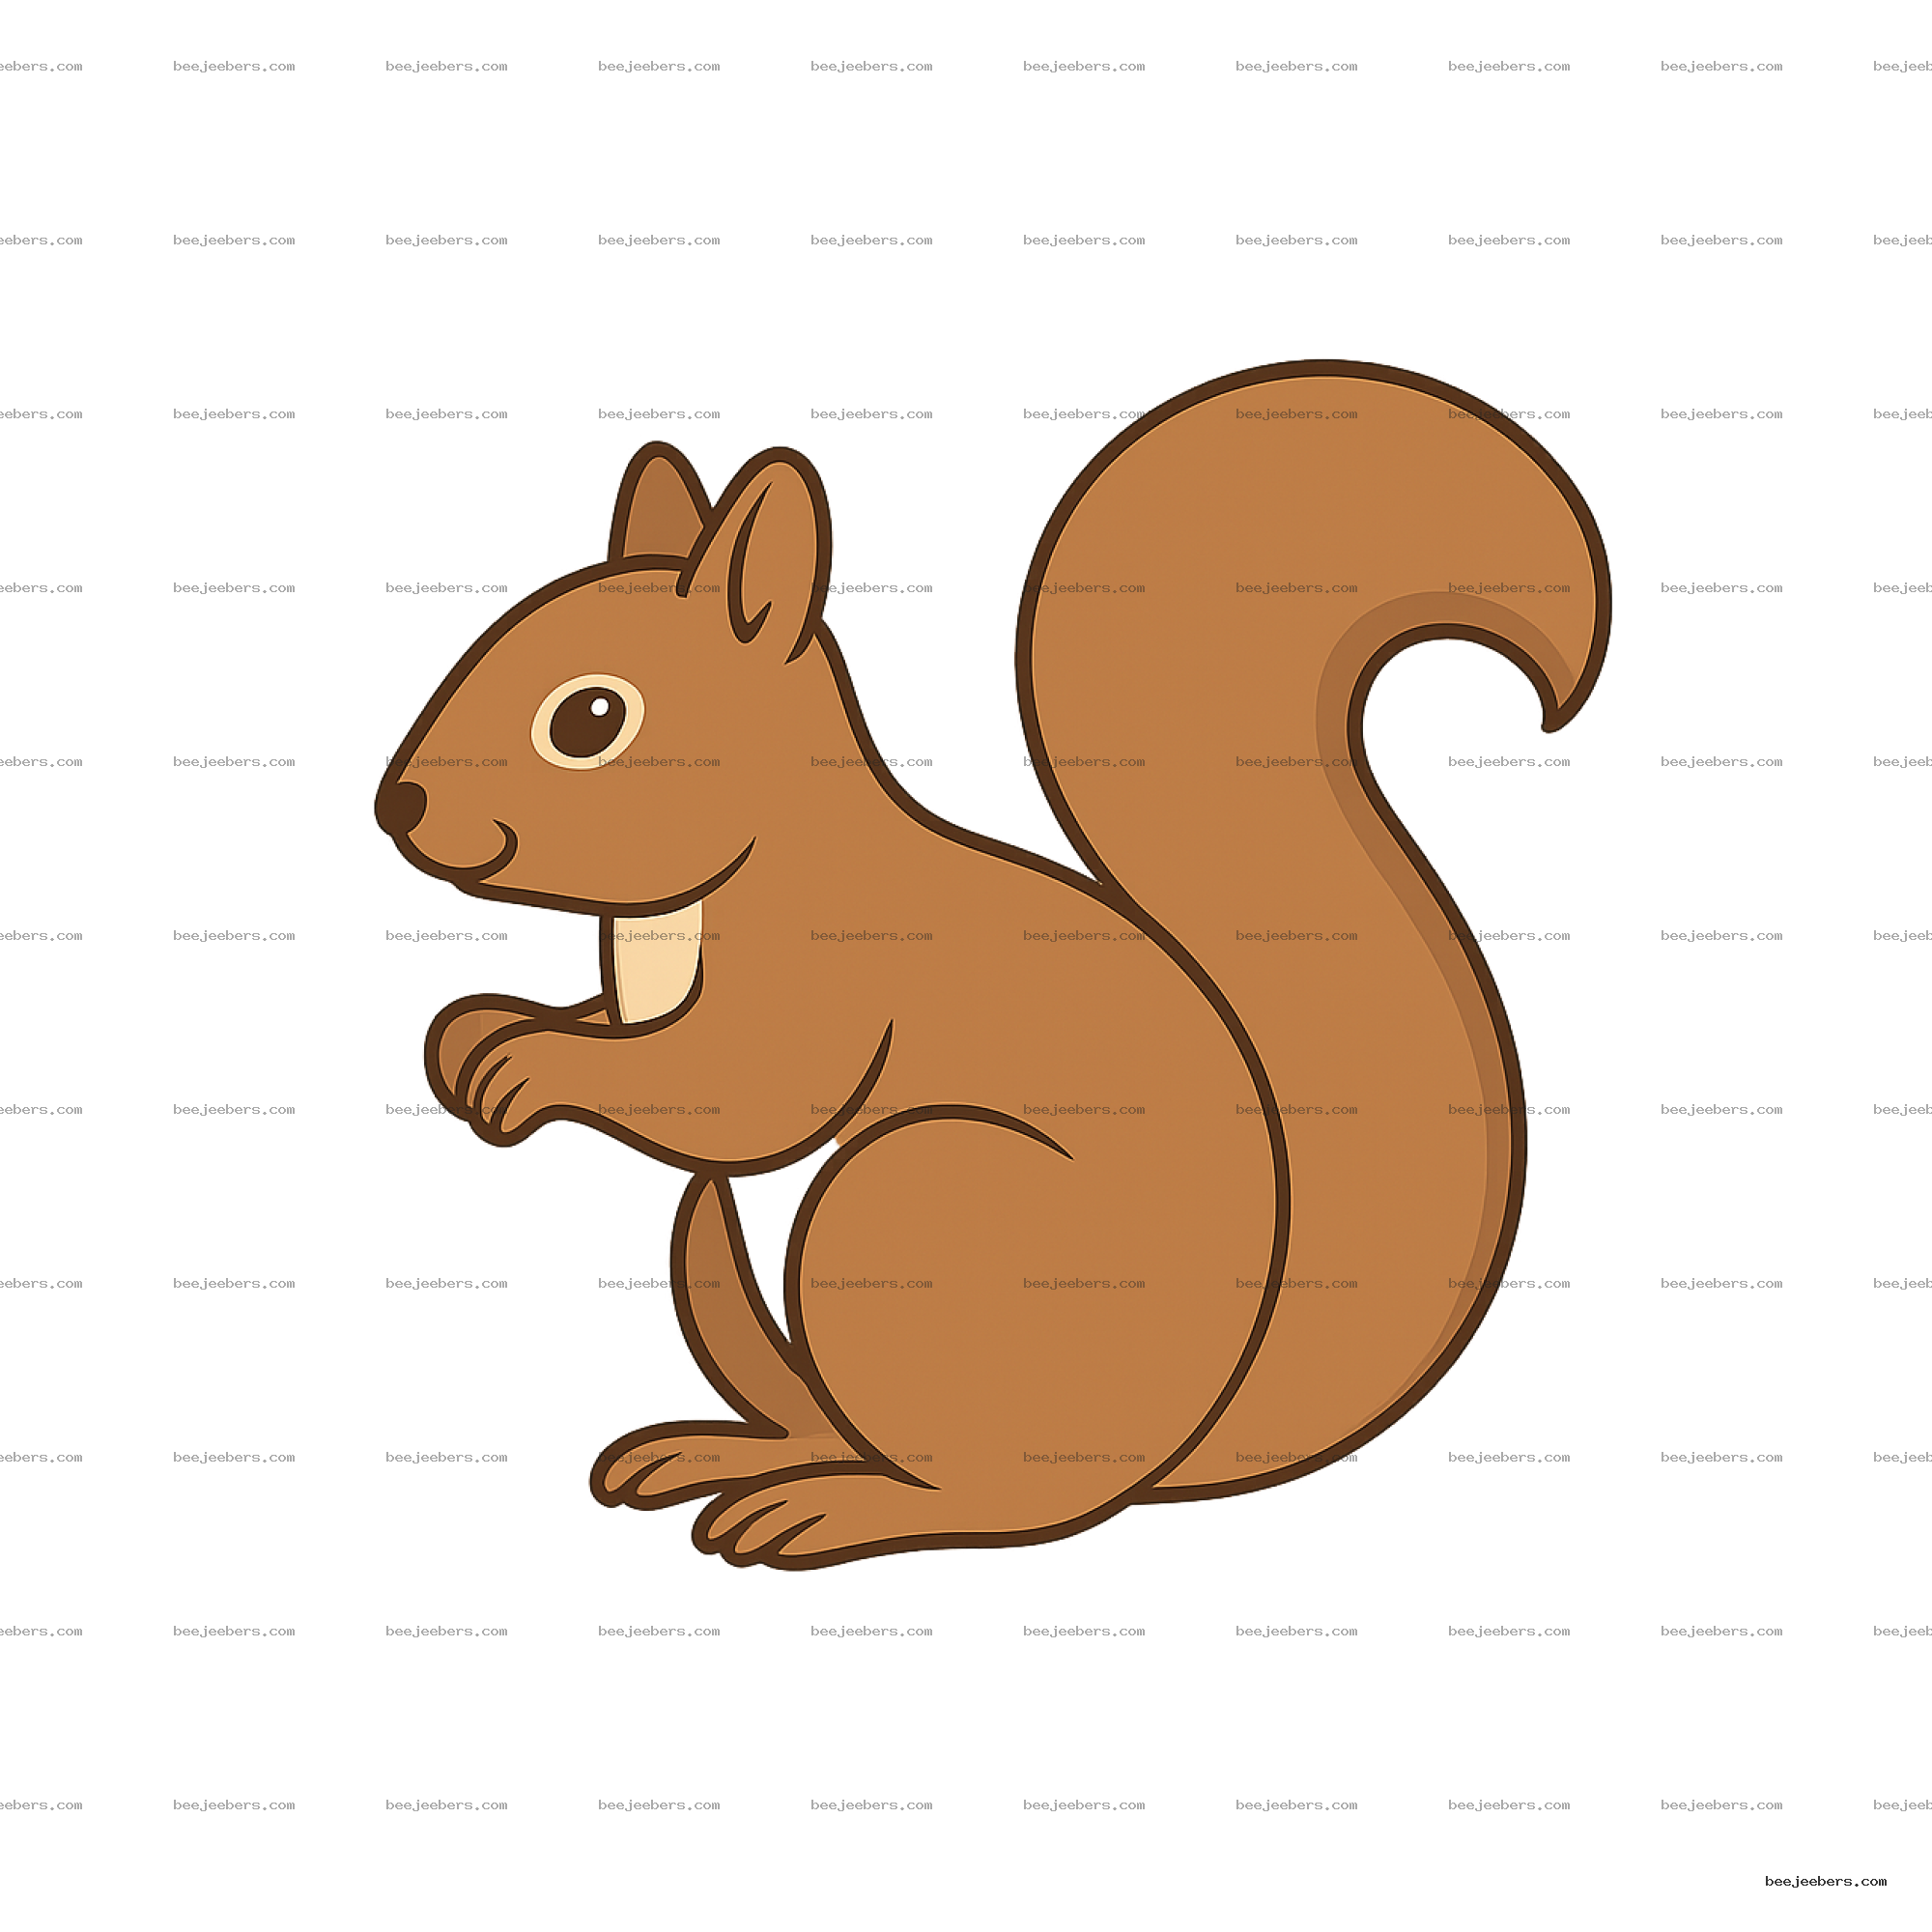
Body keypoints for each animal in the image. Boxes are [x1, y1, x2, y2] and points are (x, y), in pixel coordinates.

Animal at [375, 358, 1608, 1570]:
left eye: (591, 717)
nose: (403, 806)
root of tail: (1179, 1445)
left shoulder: (822, 977)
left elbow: (736, 1096)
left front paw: (522, 1058)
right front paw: (477, 1036)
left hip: (911, 1216)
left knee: (984, 1489)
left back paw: (834, 1508)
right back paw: (740, 1451)